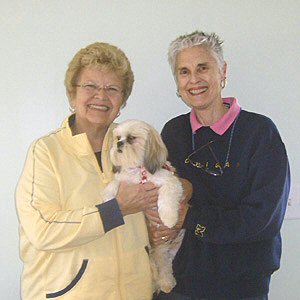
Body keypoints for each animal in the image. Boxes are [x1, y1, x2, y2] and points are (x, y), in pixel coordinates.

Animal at [102, 119, 184, 292]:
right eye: (118, 137)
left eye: (131, 138)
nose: (119, 143)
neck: (139, 171)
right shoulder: (124, 180)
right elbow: (114, 183)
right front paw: (107, 197)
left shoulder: (171, 182)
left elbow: (166, 198)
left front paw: (169, 218)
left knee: (164, 264)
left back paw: (166, 282)